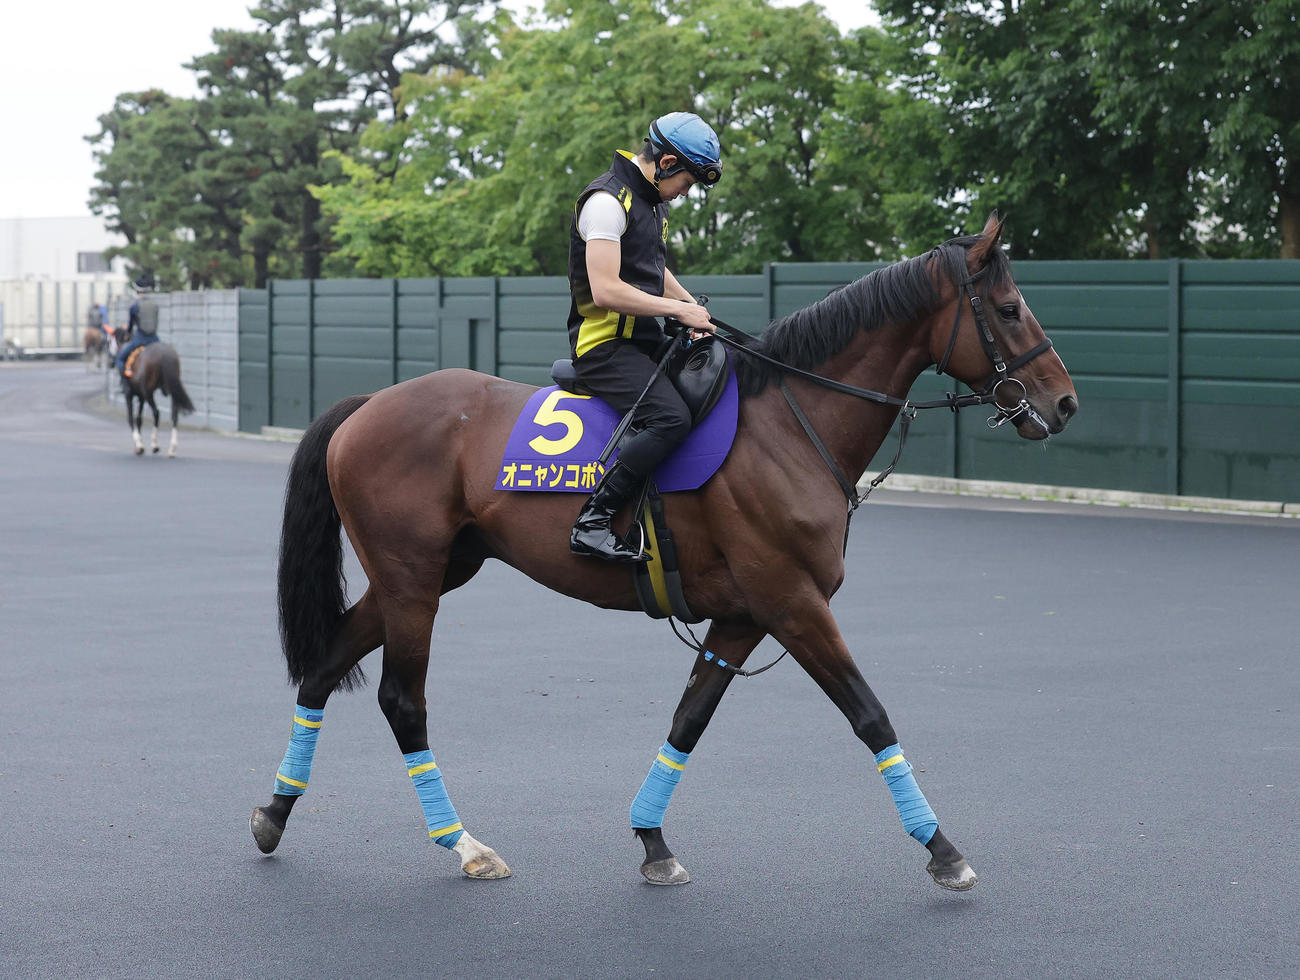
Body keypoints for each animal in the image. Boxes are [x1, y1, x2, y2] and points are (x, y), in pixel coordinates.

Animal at [250, 213, 1078, 891]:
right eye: (1009, 309)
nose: (1064, 402)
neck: (790, 423)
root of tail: (371, 404)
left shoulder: (744, 617)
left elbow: (689, 720)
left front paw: (652, 841)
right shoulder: (794, 604)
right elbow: (871, 716)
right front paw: (942, 849)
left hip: (425, 575)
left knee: (324, 666)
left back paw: (276, 813)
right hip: (413, 581)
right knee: (402, 701)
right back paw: (462, 844)